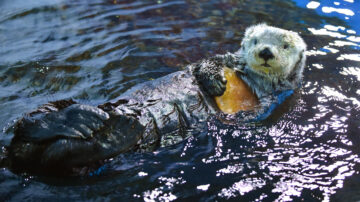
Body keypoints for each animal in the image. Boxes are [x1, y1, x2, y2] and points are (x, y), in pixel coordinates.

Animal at [2, 23, 306, 174]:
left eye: (284, 45)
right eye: (254, 41)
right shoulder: (226, 59)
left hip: (91, 154)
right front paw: (216, 81)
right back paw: (69, 119)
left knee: (57, 154)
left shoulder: (272, 98)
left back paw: (106, 126)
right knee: (30, 126)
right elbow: (204, 65)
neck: (250, 76)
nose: (265, 51)